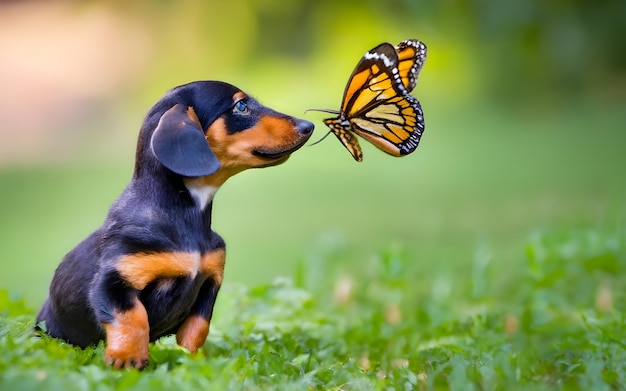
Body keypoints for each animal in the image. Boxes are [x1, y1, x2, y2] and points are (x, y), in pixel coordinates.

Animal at [36, 80, 314, 370]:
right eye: (241, 106)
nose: (308, 125)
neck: (184, 215)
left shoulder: (209, 284)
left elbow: (198, 328)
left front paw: (191, 362)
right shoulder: (114, 281)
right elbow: (133, 317)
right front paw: (127, 359)